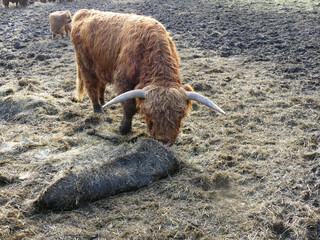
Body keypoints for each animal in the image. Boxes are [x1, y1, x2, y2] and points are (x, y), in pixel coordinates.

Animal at [70, 9, 225, 145]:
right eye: (150, 115)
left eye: (180, 115)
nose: (164, 141)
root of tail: (84, 12)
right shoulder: (123, 80)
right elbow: (129, 107)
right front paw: (124, 128)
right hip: (86, 64)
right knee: (91, 86)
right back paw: (98, 109)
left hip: (101, 66)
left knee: (101, 85)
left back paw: (103, 103)